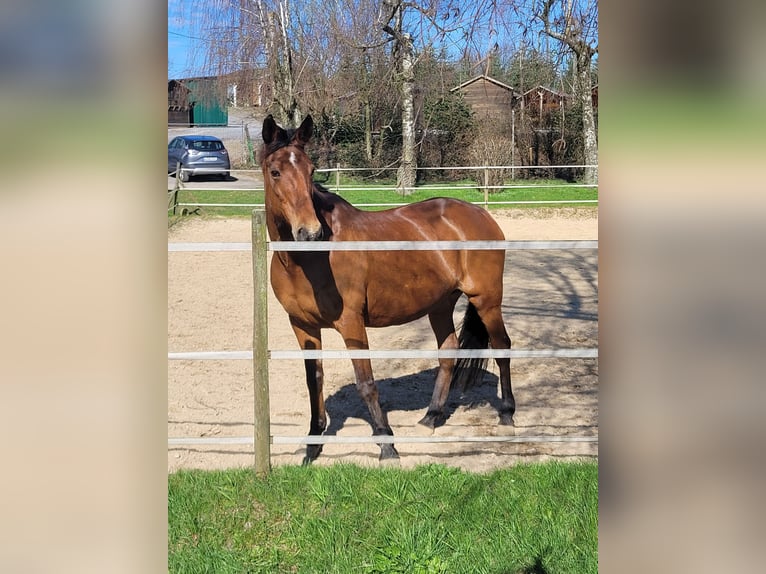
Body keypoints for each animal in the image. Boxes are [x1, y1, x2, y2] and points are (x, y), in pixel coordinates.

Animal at [260, 115, 516, 466]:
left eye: (311, 170)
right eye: (275, 172)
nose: (310, 232)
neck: (306, 260)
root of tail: (480, 214)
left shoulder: (352, 324)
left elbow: (366, 383)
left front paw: (386, 445)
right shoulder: (302, 326)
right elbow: (315, 382)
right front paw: (312, 446)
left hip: (487, 300)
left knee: (502, 346)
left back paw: (507, 413)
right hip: (440, 305)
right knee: (448, 351)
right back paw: (432, 416)